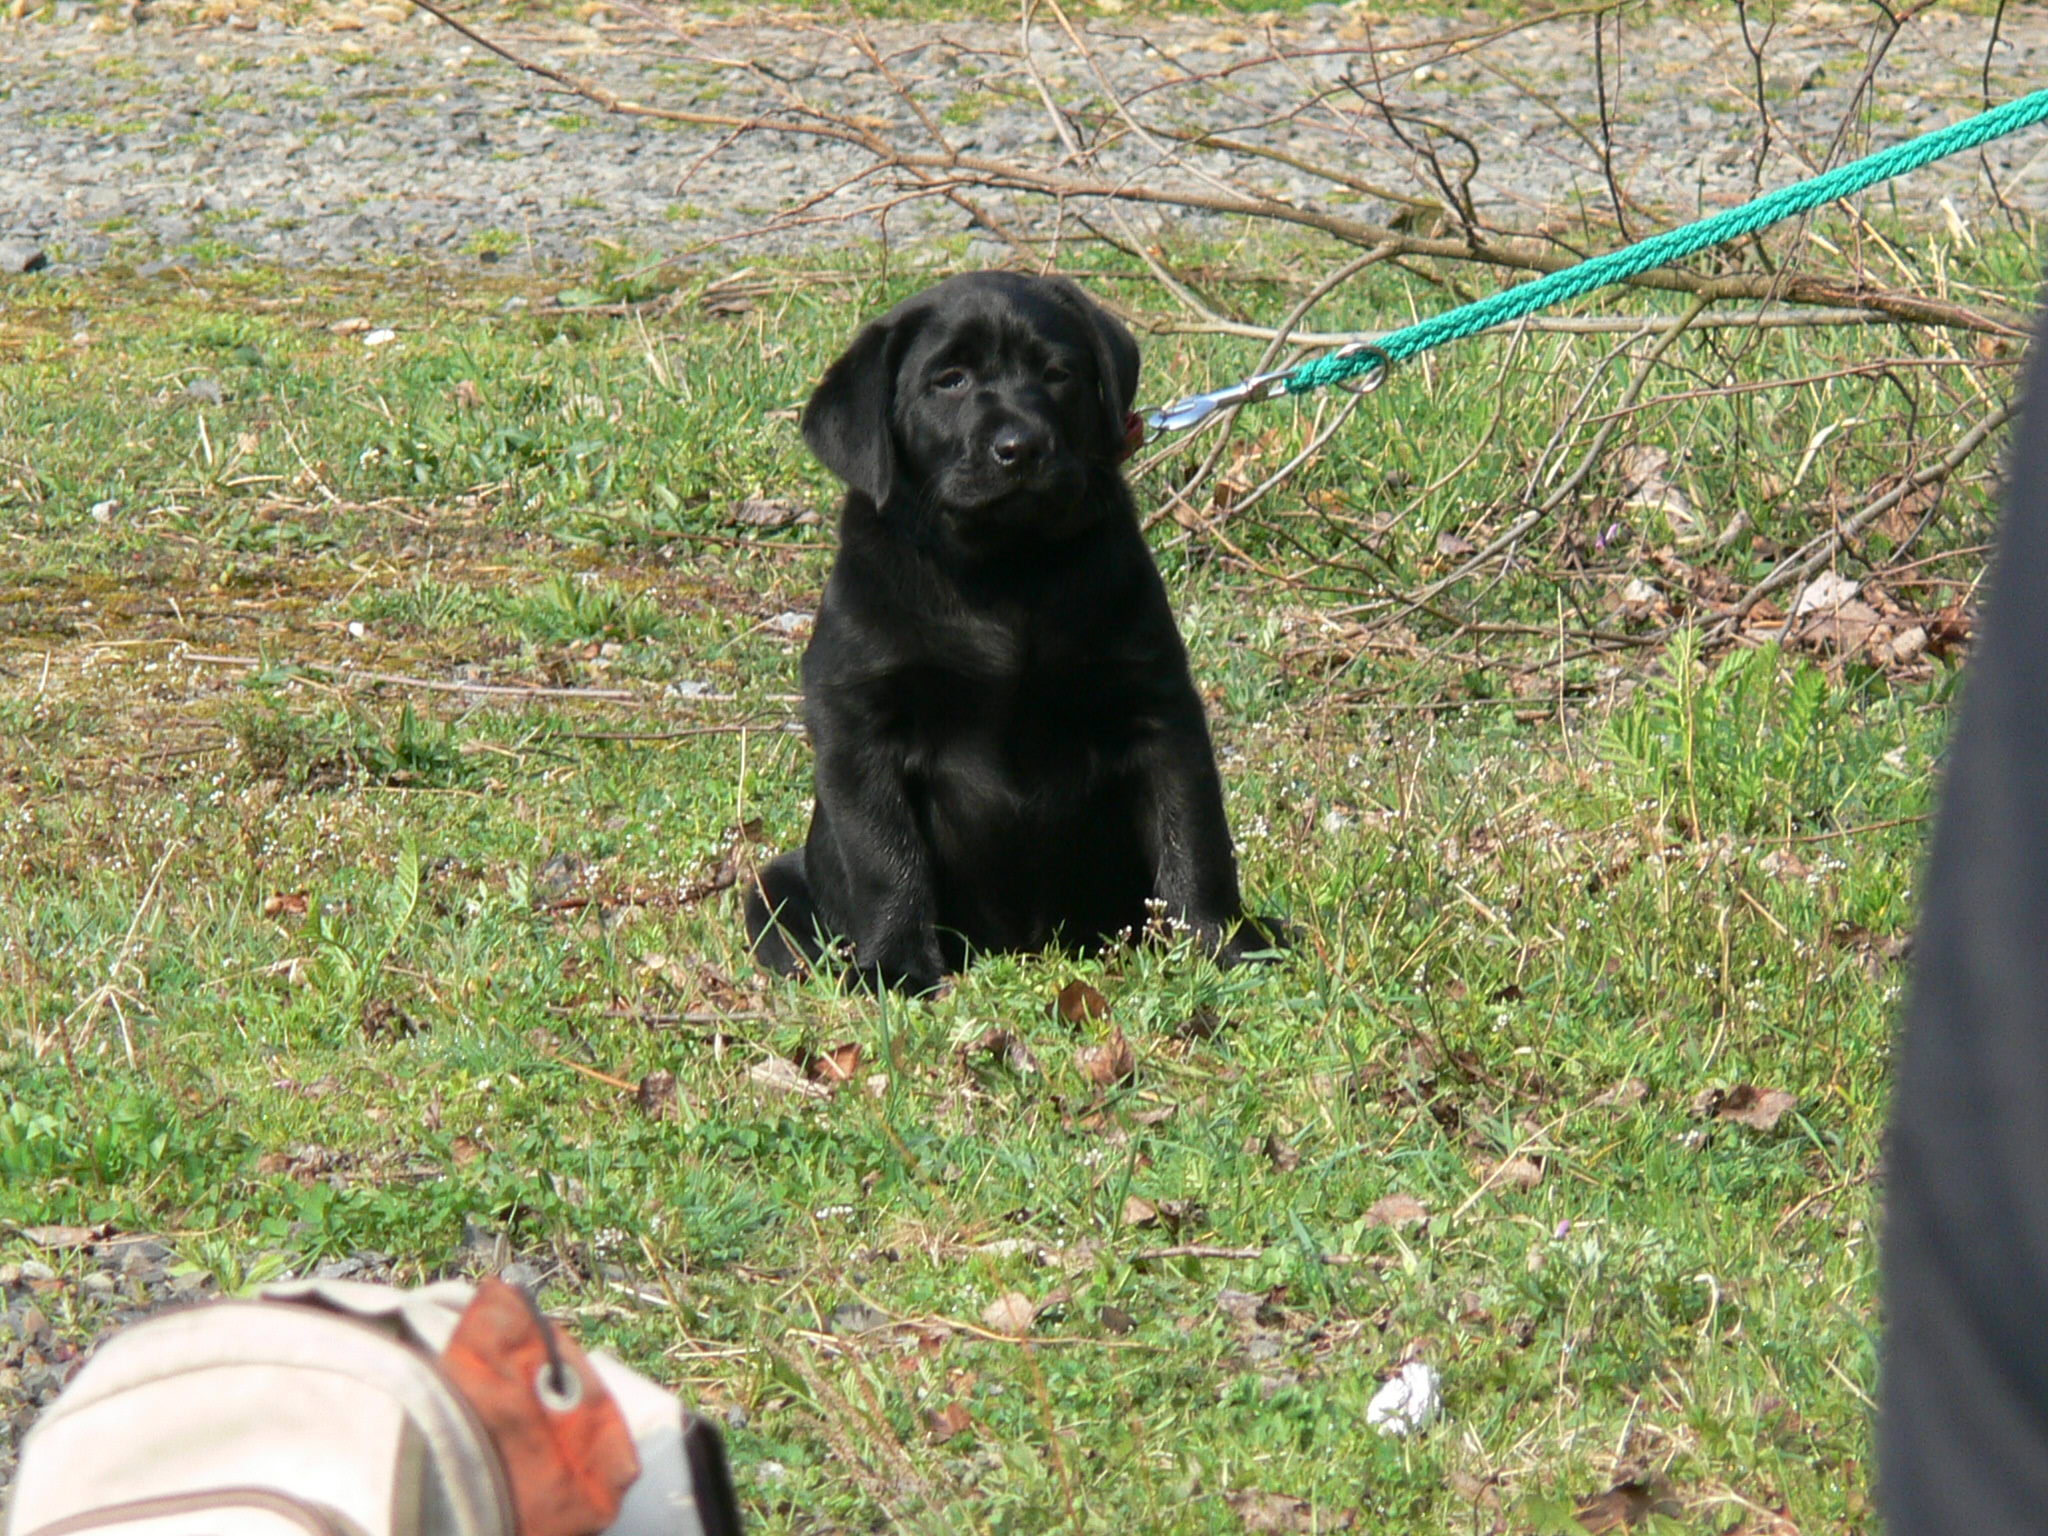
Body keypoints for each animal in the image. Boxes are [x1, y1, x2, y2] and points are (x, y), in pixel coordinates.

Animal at [745, 274, 1269, 999]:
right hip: (770, 890)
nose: (1022, 447)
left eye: (1058, 374)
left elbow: (1194, 837)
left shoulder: (1159, 707)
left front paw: (1222, 946)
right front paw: (896, 970)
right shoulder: (859, 724)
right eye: (950, 380)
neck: (1006, 568)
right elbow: (886, 858)